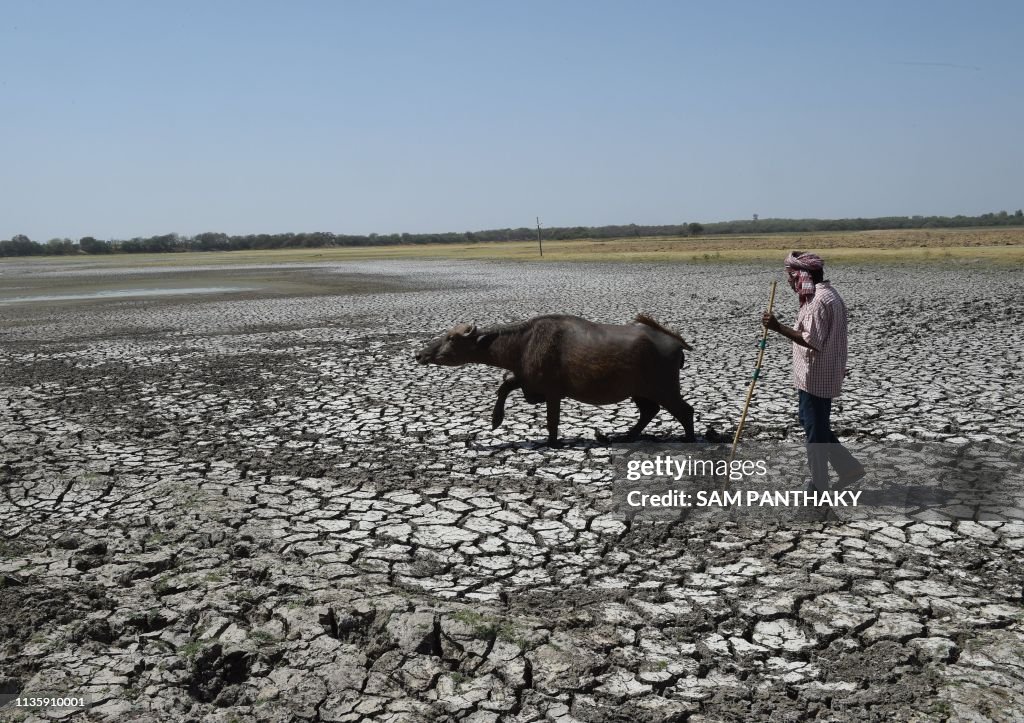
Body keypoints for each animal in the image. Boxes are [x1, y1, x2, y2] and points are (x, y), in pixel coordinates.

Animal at [415, 313, 696, 444]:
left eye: (452, 339)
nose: (420, 354)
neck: (524, 343)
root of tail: (673, 341)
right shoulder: (528, 381)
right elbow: (506, 384)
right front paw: (496, 420)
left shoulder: (552, 393)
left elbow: (552, 420)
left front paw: (552, 443)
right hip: (639, 392)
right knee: (649, 411)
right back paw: (625, 435)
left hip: (664, 389)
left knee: (685, 411)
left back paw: (689, 439)